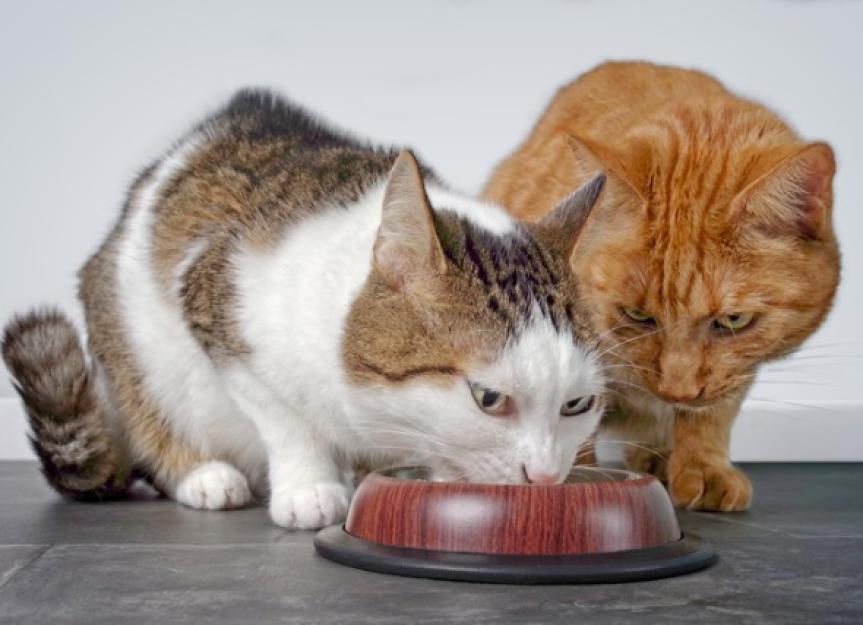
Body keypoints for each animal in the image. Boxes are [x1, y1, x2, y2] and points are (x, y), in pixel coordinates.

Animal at [3, 89, 608, 528]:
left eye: (577, 404)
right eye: (488, 398)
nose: (546, 478)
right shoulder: (216, 306)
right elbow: (283, 415)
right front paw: (310, 485)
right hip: (130, 341)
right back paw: (203, 475)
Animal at [482, 61, 840, 512]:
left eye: (734, 320)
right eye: (637, 315)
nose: (678, 391)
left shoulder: (735, 374)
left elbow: (713, 412)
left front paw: (703, 466)